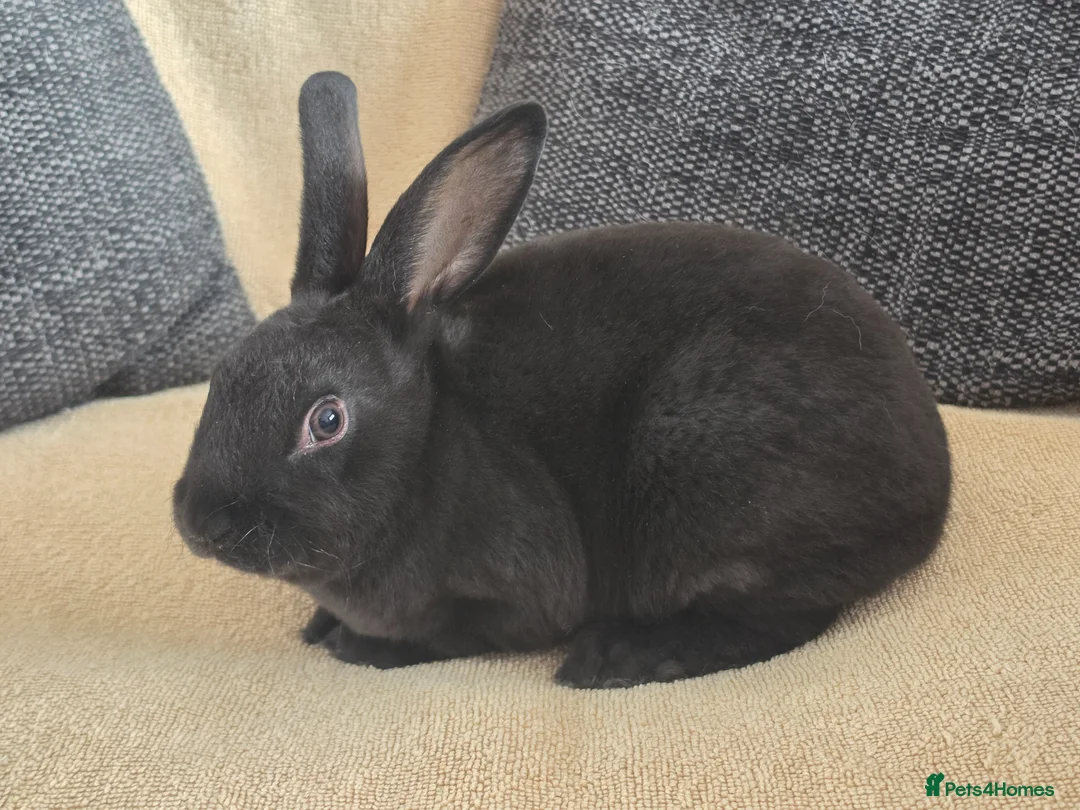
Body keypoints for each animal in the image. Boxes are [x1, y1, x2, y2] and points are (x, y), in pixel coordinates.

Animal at [172, 71, 951, 689]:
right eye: (221, 378)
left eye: (327, 420)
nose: (201, 523)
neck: (427, 445)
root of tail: (930, 485)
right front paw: (319, 627)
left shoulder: (517, 594)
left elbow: (451, 634)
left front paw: (355, 644)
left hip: (712, 484)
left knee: (781, 620)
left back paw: (616, 658)